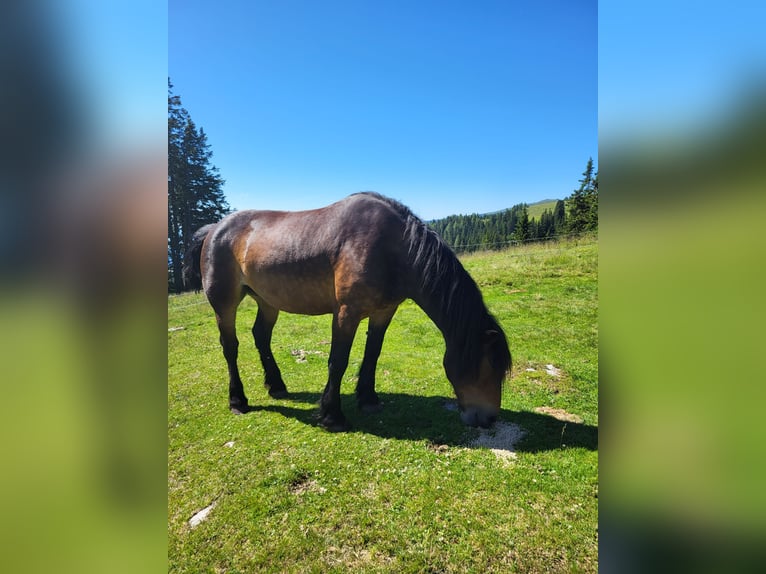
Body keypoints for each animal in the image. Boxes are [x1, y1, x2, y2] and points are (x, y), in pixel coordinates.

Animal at [183, 192, 512, 432]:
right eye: (486, 367)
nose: (488, 418)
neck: (391, 247)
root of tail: (214, 230)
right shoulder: (345, 313)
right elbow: (338, 361)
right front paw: (332, 415)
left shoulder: (384, 312)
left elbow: (372, 354)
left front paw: (368, 399)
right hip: (224, 304)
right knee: (230, 347)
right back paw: (238, 400)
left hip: (267, 301)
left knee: (260, 336)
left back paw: (276, 386)